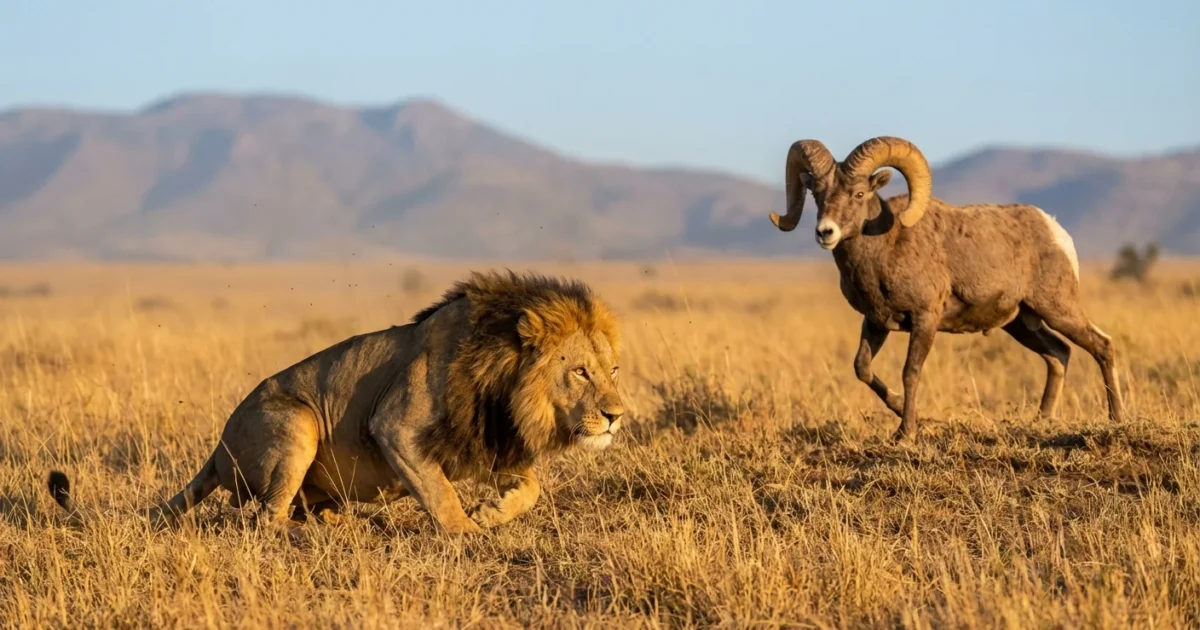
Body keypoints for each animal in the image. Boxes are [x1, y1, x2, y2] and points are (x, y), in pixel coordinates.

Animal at [46, 270, 626, 535]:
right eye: (580, 371)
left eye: (613, 370)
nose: (616, 417)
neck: (503, 386)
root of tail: (217, 447)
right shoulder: (396, 424)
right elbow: (439, 492)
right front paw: (466, 530)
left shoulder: (485, 438)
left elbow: (531, 486)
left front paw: (493, 510)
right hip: (295, 420)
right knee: (264, 517)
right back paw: (306, 530)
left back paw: (334, 520)